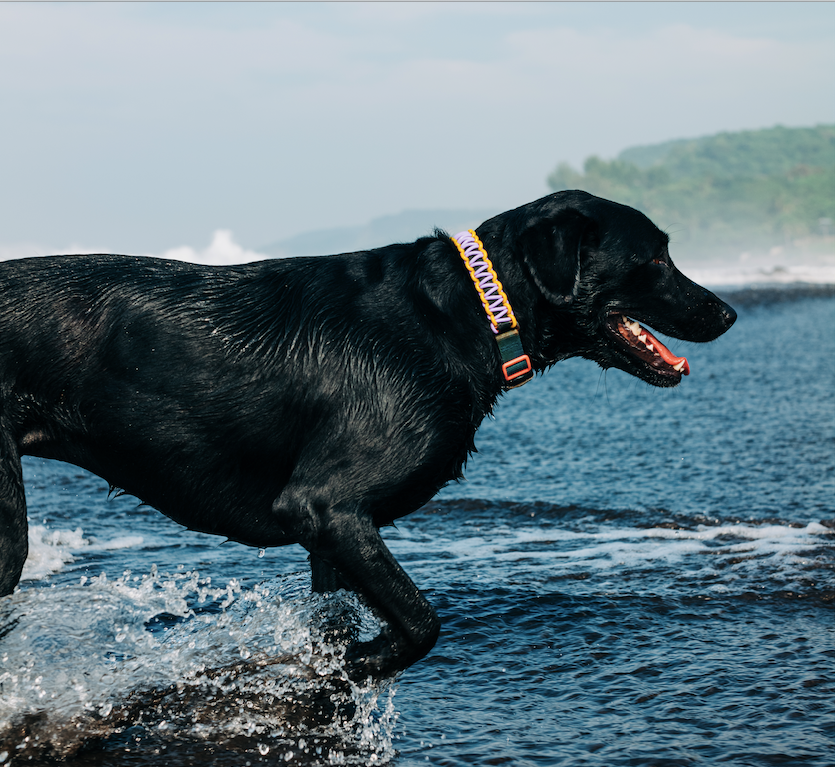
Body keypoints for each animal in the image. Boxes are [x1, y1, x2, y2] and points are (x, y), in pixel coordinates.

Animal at [0, 192, 732, 680]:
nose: (726, 312)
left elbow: (337, 613)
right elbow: (421, 620)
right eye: (654, 257)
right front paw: (358, 661)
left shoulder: (332, 539)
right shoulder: (327, 506)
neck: (463, 310)